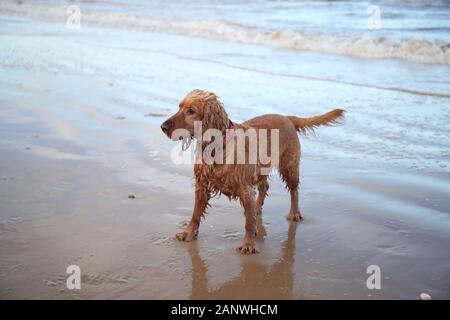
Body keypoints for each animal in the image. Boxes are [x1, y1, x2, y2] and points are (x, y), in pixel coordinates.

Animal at [162, 89, 344, 254]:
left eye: (191, 111)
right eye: (179, 107)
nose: (163, 127)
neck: (218, 148)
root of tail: (287, 118)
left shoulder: (245, 188)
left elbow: (248, 223)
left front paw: (249, 244)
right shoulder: (202, 185)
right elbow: (195, 214)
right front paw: (188, 233)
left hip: (289, 167)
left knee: (294, 191)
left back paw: (294, 213)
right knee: (264, 187)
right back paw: (258, 208)